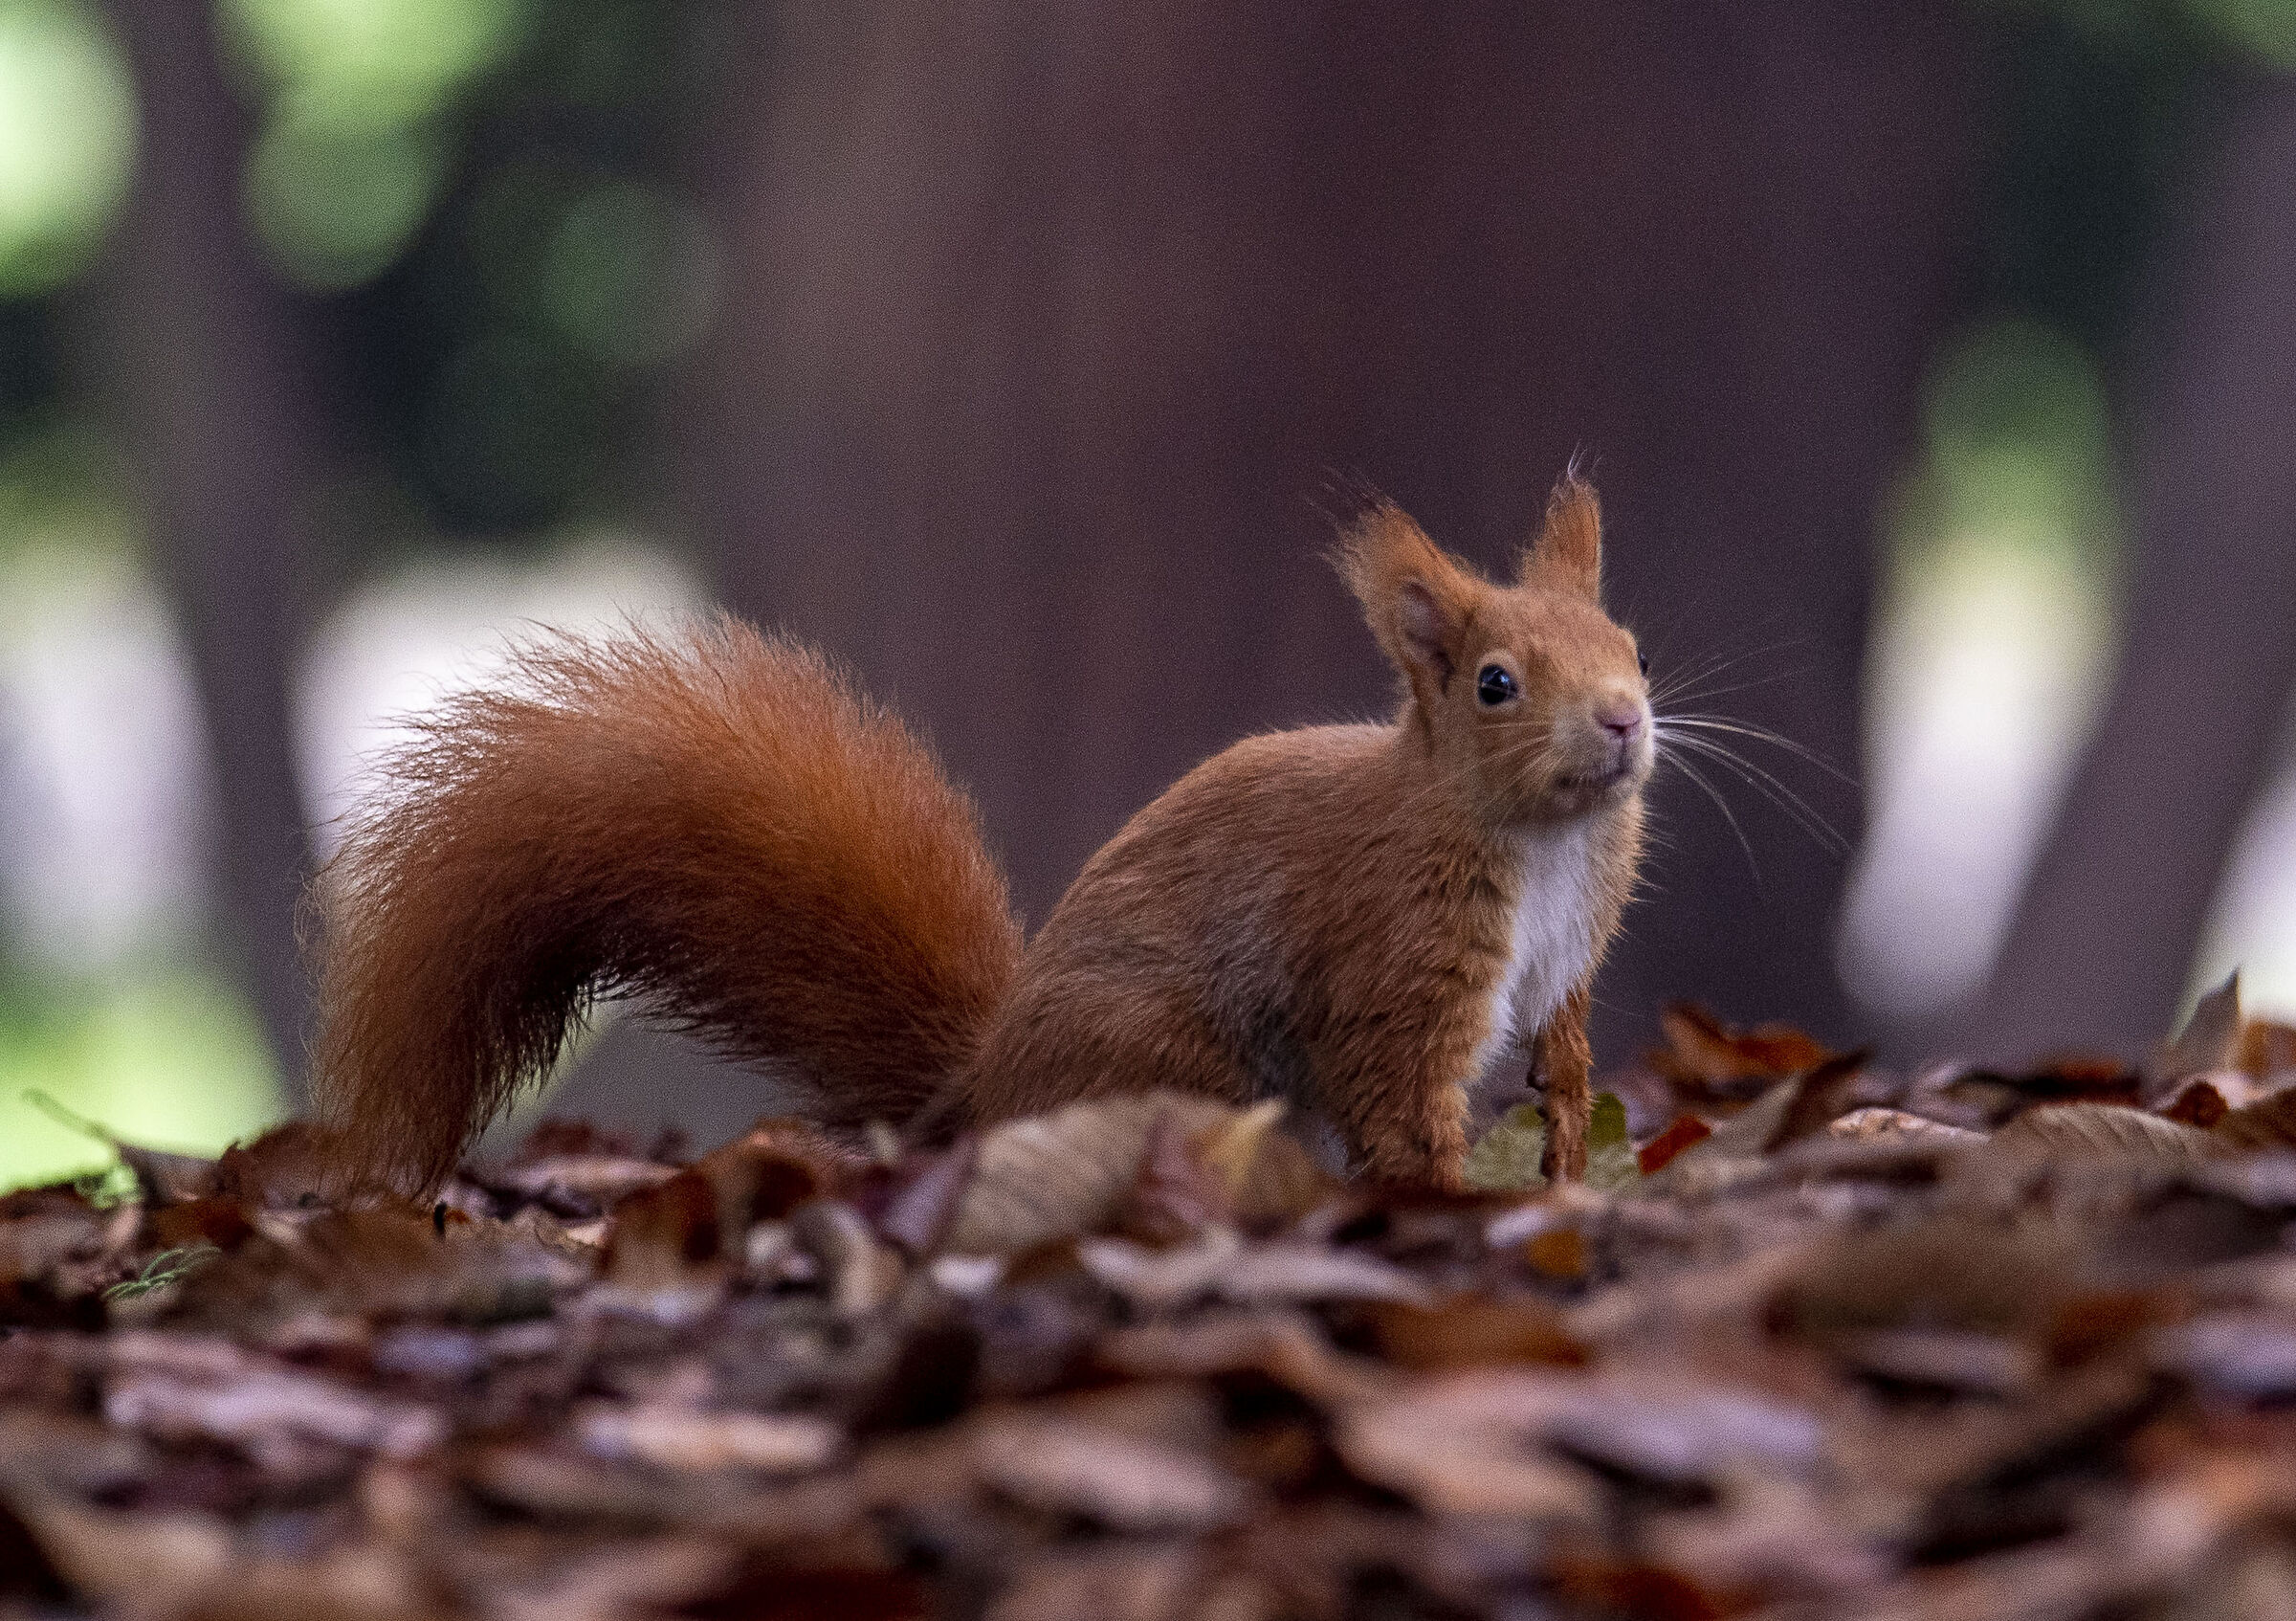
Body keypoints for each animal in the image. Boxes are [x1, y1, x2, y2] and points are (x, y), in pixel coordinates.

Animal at [311, 472, 1654, 1196]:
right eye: (1494, 683)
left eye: (1633, 647)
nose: (1628, 719)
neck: (1538, 846)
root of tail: (979, 1091)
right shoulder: (1391, 951)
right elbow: (1402, 1092)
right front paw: (1452, 1204)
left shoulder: (1566, 958)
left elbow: (1567, 1053)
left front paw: (1567, 1159)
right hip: (1168, 1059)